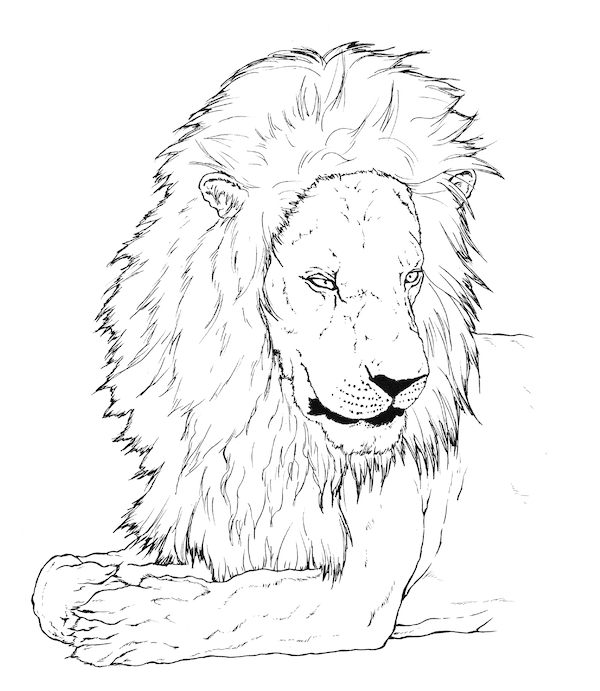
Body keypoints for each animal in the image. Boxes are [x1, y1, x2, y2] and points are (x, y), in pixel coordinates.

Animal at [32, 43, 532, 665]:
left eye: (411, 279)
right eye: (321, 281)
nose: (403, 383)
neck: (274, 434)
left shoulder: (359, 596)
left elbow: (241, 600)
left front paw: (130, 614)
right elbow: (51, 577)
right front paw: (105, 583)